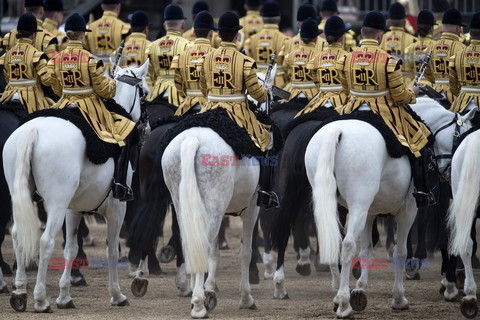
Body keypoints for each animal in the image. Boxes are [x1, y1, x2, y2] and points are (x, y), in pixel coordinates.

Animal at [2, 60, 149, 312]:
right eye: (146, 93)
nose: (146, 128)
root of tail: (34, 130)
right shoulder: (117, 208)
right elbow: (111, 249)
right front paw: (116, 294)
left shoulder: (74, 209)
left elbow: (70, 247)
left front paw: (65, 295)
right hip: (56, 203)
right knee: (45, 241)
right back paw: (40, 299)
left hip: (20, 196)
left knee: (17, 233)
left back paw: (20, 291)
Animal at [161, 127, 260, 318]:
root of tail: (193, 137)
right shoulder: (251, 210)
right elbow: (246, 253)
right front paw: (246, 298)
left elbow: (214, 254)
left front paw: (210, 288)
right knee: (201, 246)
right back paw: (199, 305)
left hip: (185, 205)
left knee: (190, 246)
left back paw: (195, 293)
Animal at [304, 99, 476, 318]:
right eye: (462, 135)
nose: (450, 172)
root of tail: (337, 130)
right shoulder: (407, 211)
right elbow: (400, 252)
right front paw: (398, 298)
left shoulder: (370, 213)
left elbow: (366, 251)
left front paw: (360, 290)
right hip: (358, 205)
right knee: (348, 244)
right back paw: (343, 303)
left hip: (333, 204)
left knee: (336, 241)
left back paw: (338, 296)